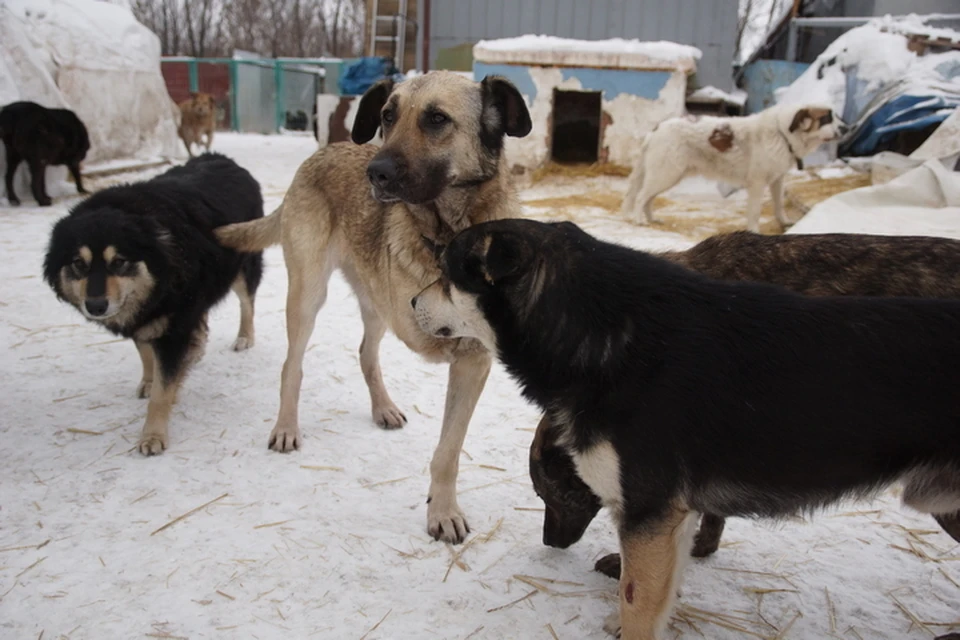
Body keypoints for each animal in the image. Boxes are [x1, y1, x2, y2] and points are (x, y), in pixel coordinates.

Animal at [44, 152, 262, 456]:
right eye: (78, 263)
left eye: (119, 262)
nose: (96, 306)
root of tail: (220, 158)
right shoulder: (146, 314)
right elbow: (146, 354)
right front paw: (148, 380)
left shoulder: (172, 327)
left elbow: (162, 390)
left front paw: (153, 435)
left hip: (242, 267)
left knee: (247, 303)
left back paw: (244, 337)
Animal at [214, 70, 532, 544]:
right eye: (387, 116)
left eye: (437, 119)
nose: (375, 174)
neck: (445, 235)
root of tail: (324, 150)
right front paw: (442, 513)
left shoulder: (473, 362)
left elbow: (449, 449)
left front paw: (442, 509)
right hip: (308, 295)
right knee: (293, 366)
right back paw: (286, 426)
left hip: (376, 303)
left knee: (366, 353)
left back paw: (382, 407)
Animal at [620, 104, 844, 234]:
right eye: (827, 118)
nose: (847, 127)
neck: (783, 134)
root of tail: (658, 127)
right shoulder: (757, 184)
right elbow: (754, 212)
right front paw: (754, 233)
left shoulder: (777, 180)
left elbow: (779, 205)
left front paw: (785, 223)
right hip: (665, 174)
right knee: (641, 197)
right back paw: (639, 220)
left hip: (667, 175)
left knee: (648, 198)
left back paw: (651, 219)